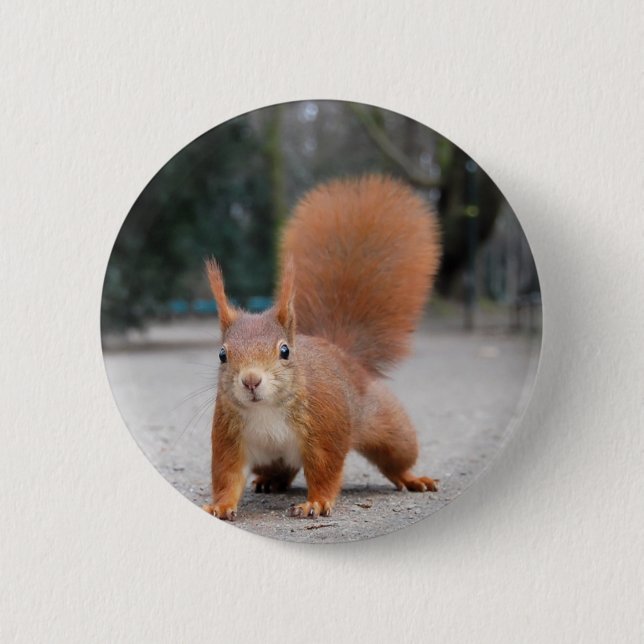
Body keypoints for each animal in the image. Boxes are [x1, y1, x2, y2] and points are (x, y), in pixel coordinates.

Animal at [202, 175, 441, 520]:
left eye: (285, 351)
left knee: (397, 457)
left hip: (388, 427)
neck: (267, 409)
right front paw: (220, 505)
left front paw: (315, 502)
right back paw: (270, 481)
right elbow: (227, 474)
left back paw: (412, 478)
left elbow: (325, 470)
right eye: (222, 354)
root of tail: (341, 352)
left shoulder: (325, 428)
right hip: (269, 458)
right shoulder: (228, 436)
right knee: (281, 469)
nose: (251, 380)